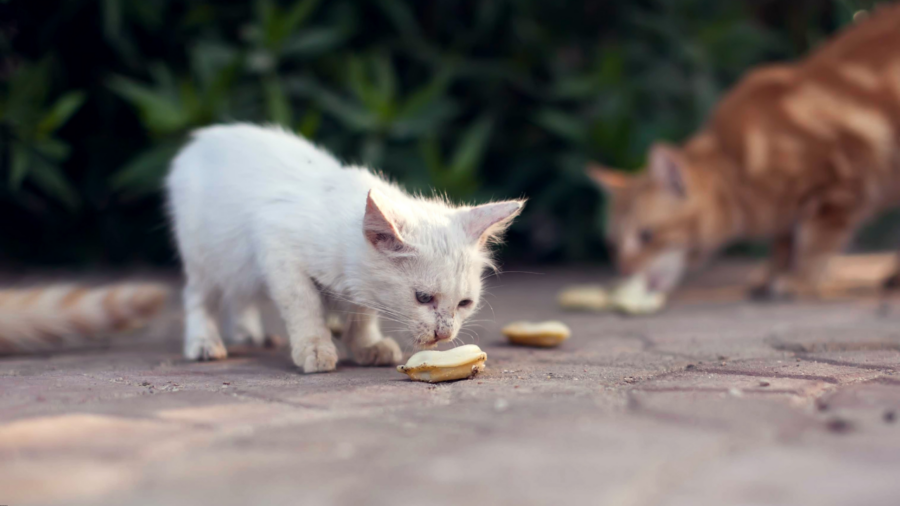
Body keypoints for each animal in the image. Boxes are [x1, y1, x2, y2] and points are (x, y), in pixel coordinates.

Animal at [165, 124, 524, 374]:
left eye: (464, 304)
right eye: (423, 298)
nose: (444, 334)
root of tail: (204, 137)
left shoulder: (357, 284)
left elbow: (361, 313)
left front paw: (366, 345)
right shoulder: (277, 247)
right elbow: (304, 305)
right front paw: (315, 347)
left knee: (240, 295)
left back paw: (247, 332)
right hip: (207, 255)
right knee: (199, 296)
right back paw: (204, 342)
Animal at [588, 3, 900, 298]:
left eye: (646, 235)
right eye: (612, 245)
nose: (625, 271)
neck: (738, 165)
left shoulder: (837, 185)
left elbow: (814, 243)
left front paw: (799, 280)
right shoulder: (791, 208)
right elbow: (784, 241)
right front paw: (772, 273)